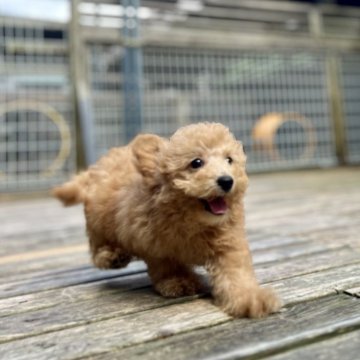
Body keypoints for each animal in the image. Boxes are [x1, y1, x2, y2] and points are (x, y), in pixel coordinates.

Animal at [52, 122, 282, 316]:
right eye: (196, 163)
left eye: (229, 160)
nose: (227, 180)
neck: (193, 221)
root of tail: (95, 169)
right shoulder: (155, 245)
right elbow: (167, 266)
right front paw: (178, 282)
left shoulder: (228, 244)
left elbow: (235, 273)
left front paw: (251, 298)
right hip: (98, 222)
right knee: (97, 248)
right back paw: (112, 256)